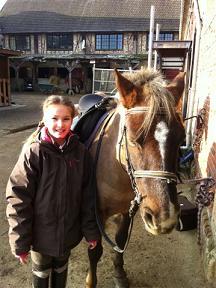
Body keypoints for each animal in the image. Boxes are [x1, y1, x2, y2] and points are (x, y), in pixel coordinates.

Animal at [84, 68, 186, 288]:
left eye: (181, 139)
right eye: (132, 139)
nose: (165, 218)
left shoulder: (128, 211)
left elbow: (120, 241)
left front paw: (119, 274)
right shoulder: (95, 213)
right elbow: (95, 251)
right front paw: (91, 280)